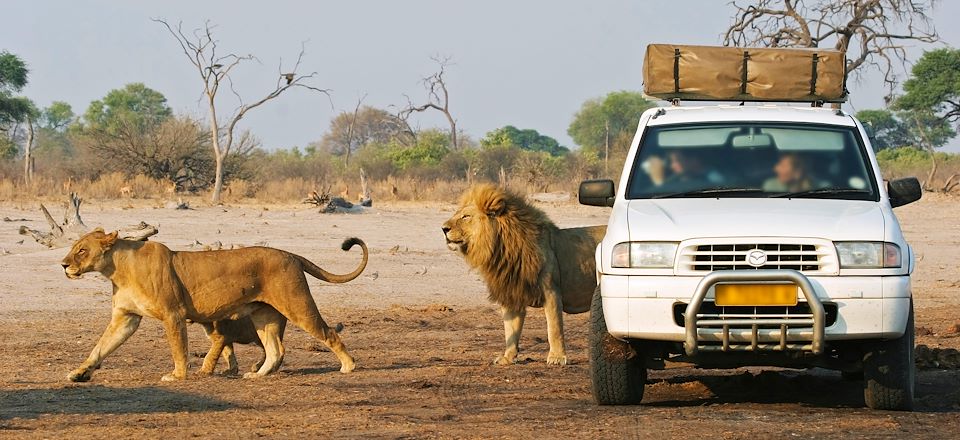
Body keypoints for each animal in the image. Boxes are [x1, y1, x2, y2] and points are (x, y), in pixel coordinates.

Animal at [61, 230, 368, 382]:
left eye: (81, 250)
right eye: (74, 248)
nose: (63, 265)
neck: (117, 269)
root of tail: (290, 253)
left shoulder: (173, 314)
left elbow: (179, 349)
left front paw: (178, 376)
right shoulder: (126, 318)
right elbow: (100, 347)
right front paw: (79, 372)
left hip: (297, 304)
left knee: (329, 333)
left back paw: (348, 366)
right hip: (264, 316)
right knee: (275, 350)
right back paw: (257, 375)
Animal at [440, 183, 604, 364]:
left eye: (466, 216)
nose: (443, 229)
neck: (502, 249)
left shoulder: (551, 292)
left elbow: (554, 328)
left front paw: (557, 357)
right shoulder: (511, 293)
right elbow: (511, 330)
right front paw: (507, 357)